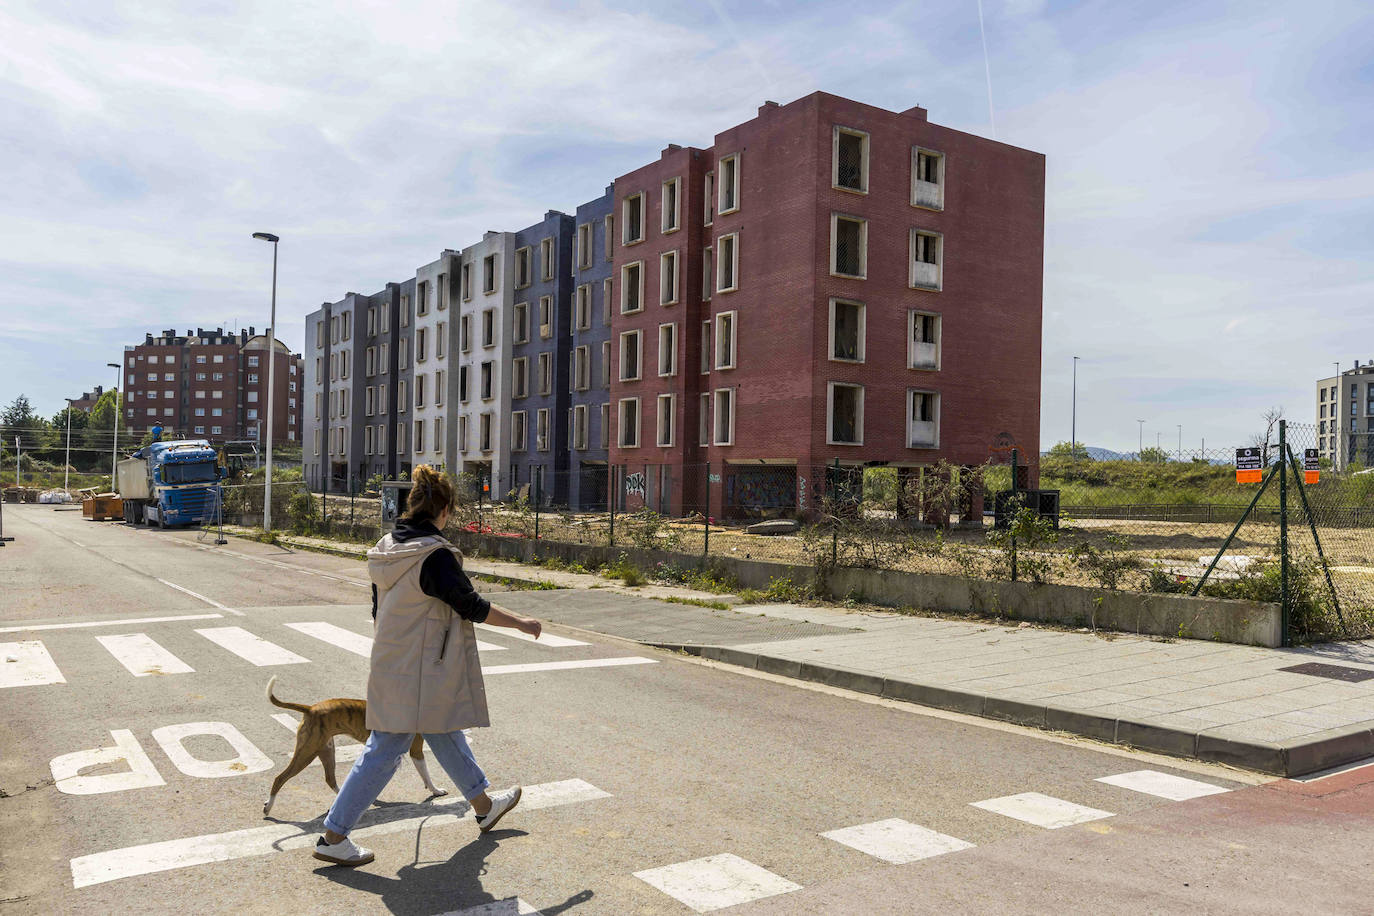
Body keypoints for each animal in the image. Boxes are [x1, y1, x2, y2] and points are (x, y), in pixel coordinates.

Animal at [261, 672, 445, 818]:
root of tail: (310, 708)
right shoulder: (416, 750)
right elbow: (426, 774)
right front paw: (436, 790)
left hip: (326, 752)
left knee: (330, 779)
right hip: (307, 753)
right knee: (280, 778)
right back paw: (268, 807)